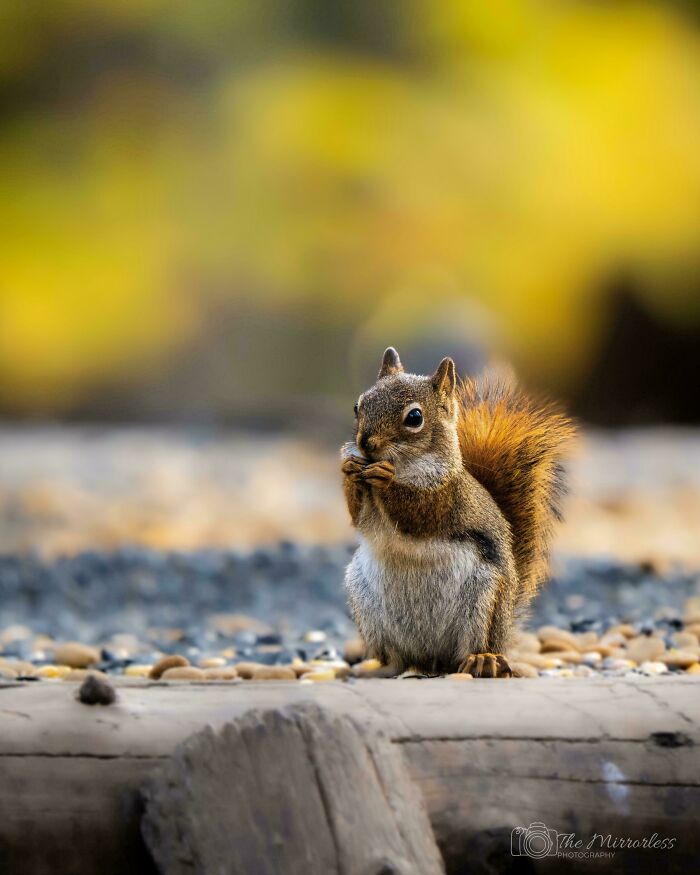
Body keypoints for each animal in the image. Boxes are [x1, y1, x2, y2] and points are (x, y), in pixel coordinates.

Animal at [341, 347, 574, 678]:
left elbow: (420, 513)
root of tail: (432, 659)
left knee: (473, 647)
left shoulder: (448, 498)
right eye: (358, 405)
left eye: (414, 417)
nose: (365, 443)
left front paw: (385, 478)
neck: (407, 465)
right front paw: (349, 467)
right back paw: (381, 667)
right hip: (364, 601)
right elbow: (357, 516)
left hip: (485, 599)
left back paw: (481, 659)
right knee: (398, 657)